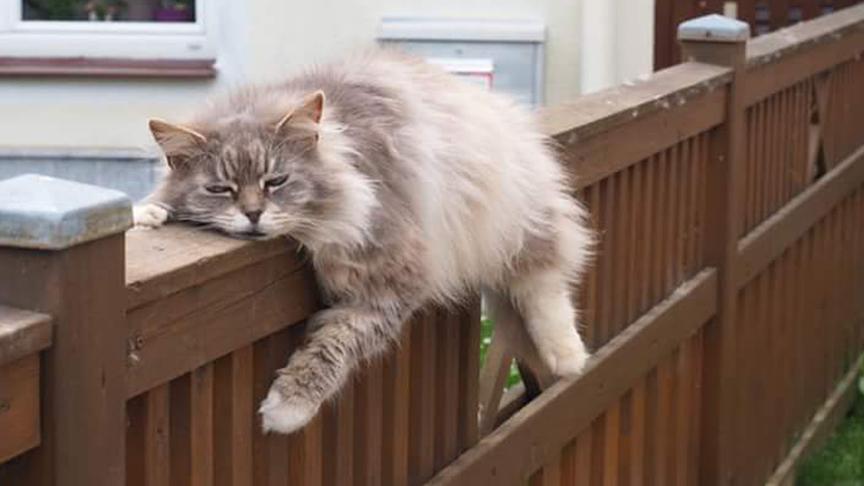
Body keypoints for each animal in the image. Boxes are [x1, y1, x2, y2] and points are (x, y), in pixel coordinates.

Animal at [135, 49, 592, 434]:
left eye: (276, 181)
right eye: (220, 189)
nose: (252, 215)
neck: (341, 154)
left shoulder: (388, 283)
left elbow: (335, 344)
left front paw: (287, 409)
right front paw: (147, 214)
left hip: (521, 217)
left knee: (544, 284)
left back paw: (568, 357)